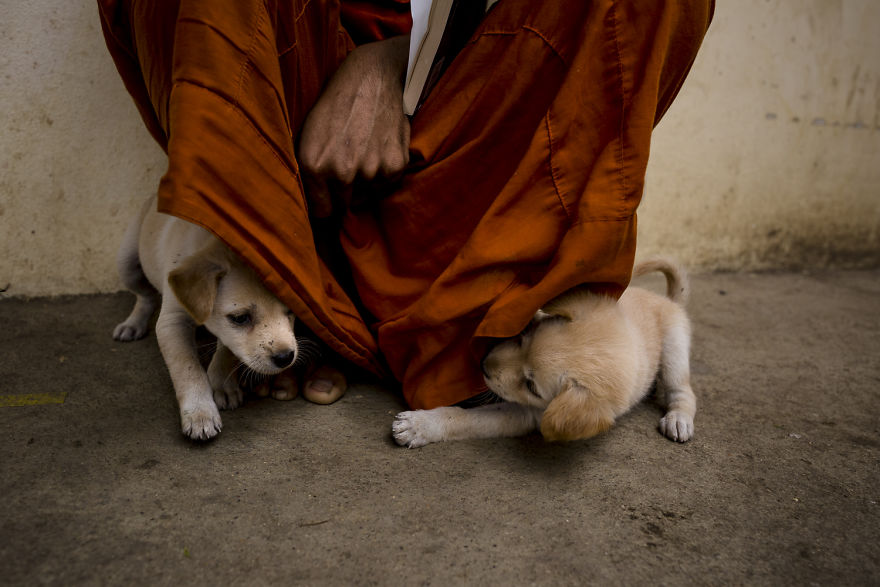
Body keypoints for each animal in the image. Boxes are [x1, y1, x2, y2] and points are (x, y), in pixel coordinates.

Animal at [113, 198, 300, 440]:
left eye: (290, 311)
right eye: (241, 318)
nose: (285, 357)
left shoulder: (228, 336)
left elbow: (227, 350)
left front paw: (222, 385)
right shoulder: (172, 321)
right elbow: (187, 368)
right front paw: (199, 413)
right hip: (127, 262)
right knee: (145, 296)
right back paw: (132, 324)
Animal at [396, 260, 696, 448]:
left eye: (531, 385)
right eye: (523, 337)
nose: (482, 365)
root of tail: (668, 300)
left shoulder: (528, 413)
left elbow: (467, 419)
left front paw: (420, 425)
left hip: (674, 348)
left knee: (682, 391)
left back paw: (678, 419)